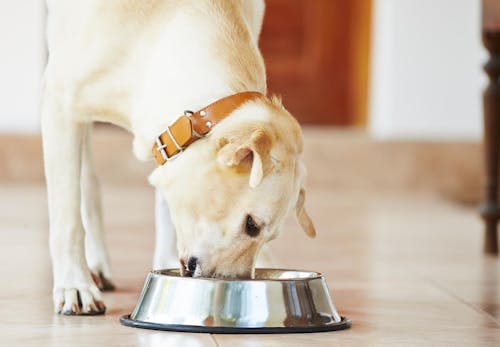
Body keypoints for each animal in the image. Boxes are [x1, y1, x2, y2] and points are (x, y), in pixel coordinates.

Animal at [44, 0, 316, 316]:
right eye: (251, 225)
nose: (236, 286)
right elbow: (67, 219)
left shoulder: (166, 142)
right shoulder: (59, 104)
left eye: (268, 236)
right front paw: (74, 285)